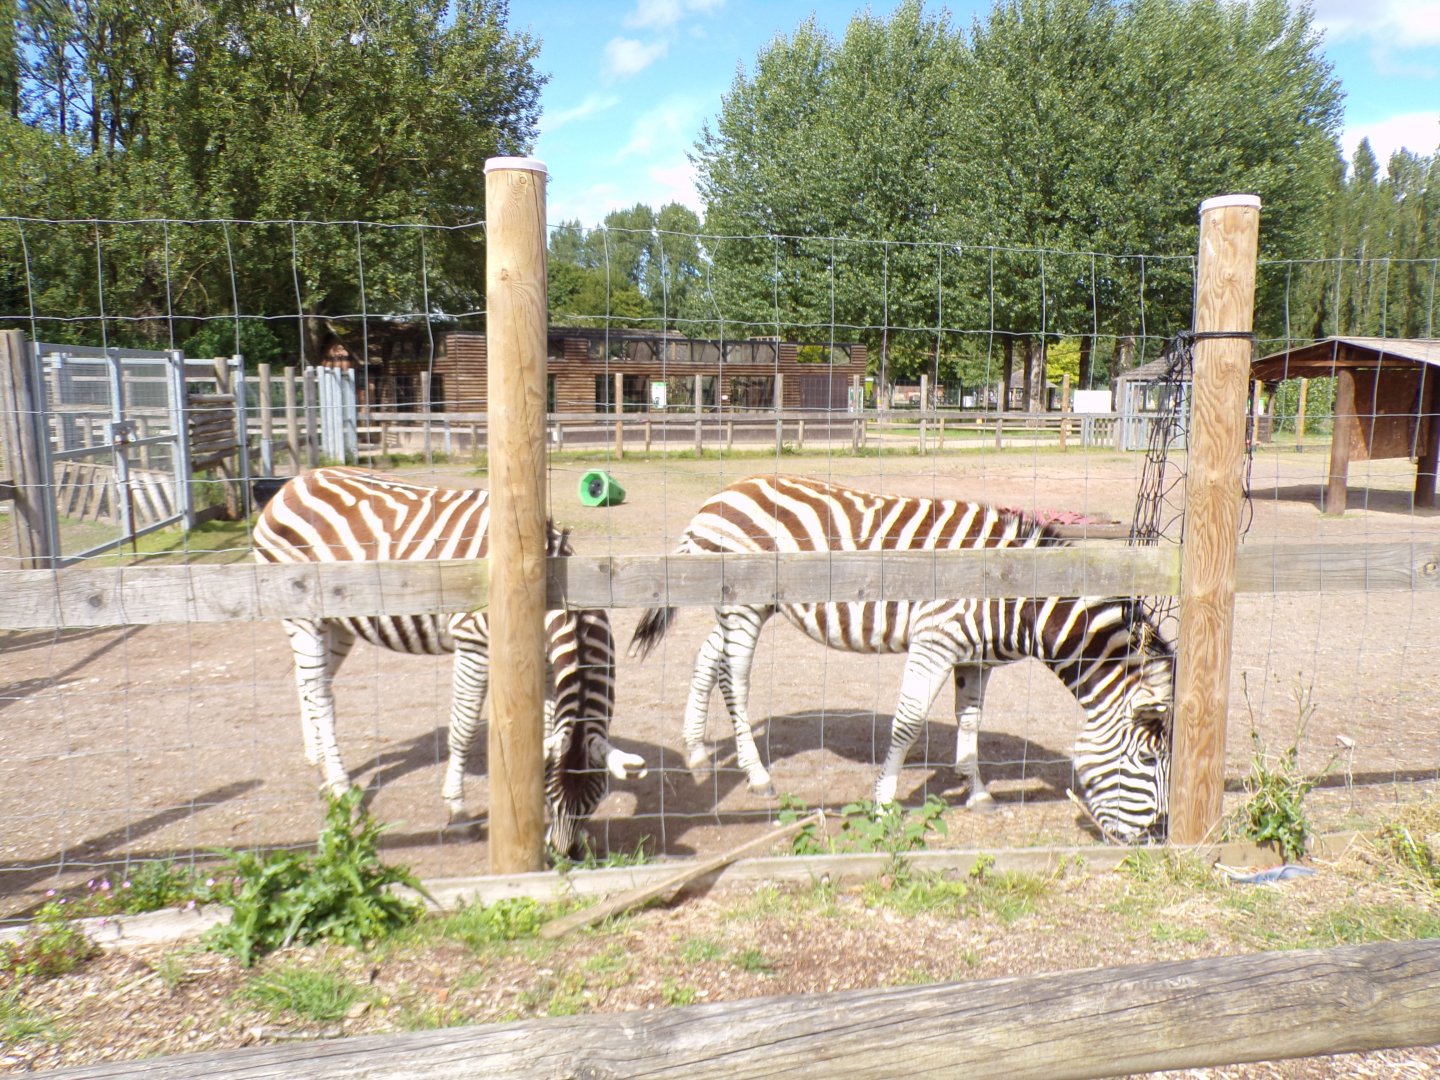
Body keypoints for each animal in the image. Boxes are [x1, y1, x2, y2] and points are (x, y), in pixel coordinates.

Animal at [252, 466, 647, 857]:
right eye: (552, 796)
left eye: (593, 801)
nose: (564, 854)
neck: (550, 585)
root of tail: (295, 481)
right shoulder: (474, 644)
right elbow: (463, 729)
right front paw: (457, 811)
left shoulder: (550, 666)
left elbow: (548, 729)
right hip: (303, 616)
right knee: (321, 698)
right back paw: (339, 786)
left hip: (338, 623)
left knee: (310, 684)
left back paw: (317, 761)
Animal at [627, 474, 1174, 843]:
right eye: (1148, 759)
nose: (1153, 838)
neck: (1014, 595)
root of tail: (722, 493)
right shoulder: (934, 641)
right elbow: (907, 724)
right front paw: (885, 801)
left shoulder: (975, 660)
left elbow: (970, 723)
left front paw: (977, 793)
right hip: (742, 604)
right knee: (734, 680)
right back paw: (757, 774)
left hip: (745, 606)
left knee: (705, 658)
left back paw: (696, 749)